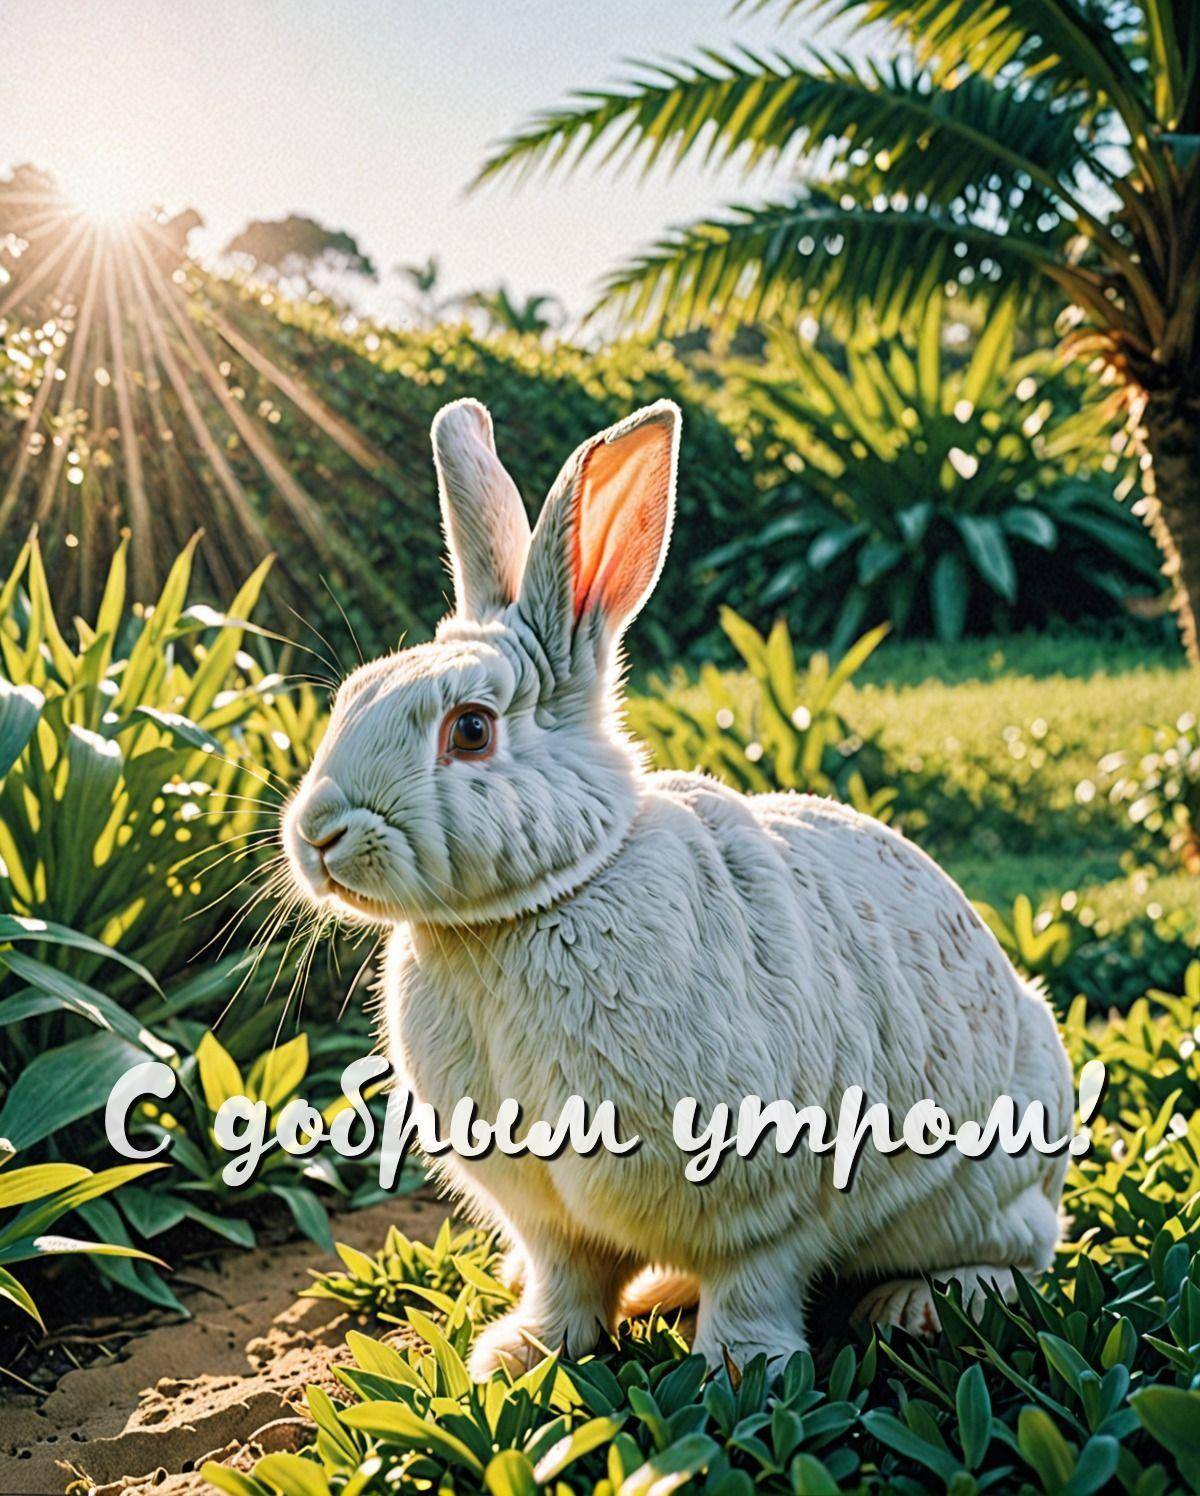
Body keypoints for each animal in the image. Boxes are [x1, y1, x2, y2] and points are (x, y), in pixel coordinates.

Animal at [283, 396, 1074, 1379]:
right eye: (352, 695)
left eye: (470, 730)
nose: (318, 834)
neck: (531, 909)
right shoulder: (548, 1213)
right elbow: (565, 1276)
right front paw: (521, 1354)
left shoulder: (762, 1196)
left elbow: (755, 1278)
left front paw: (742, 1369)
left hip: (985, 1184)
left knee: (1019, 1254)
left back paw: (917, 1306)